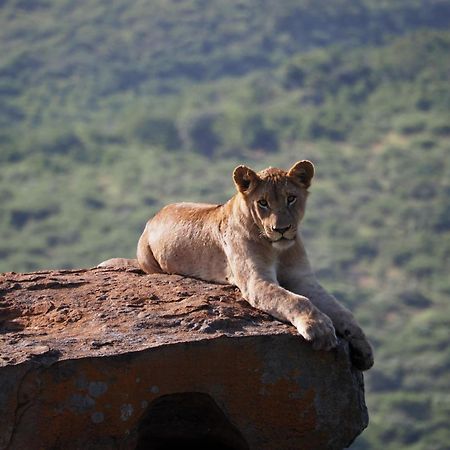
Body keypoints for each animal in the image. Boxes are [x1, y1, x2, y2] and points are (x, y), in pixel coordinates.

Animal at [100, 160, 374, 370]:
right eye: (263, 202)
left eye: (291, 198)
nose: (282, 229)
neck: (277, 249)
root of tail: (156, 215)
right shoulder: (256, 280)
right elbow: (295, 300)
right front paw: (319, 328)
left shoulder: (303, 278)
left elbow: (341, 310)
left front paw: (363, 349)